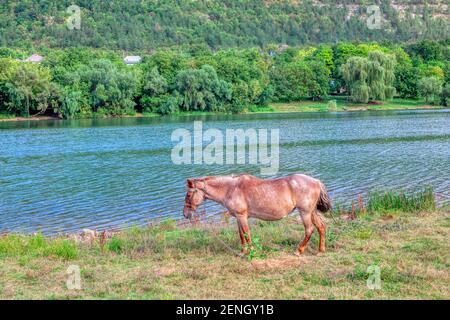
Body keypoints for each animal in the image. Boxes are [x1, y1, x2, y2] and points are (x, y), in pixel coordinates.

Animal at [181, 172, 332, 255]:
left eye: (188, 194)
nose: (185, 214)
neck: (231, 188)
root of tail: (316, 181)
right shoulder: (238, 217)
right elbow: (241, 234)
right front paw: (242, 252)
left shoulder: (242, 216)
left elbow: (247, 233)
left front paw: (251, 251)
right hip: (311, 212)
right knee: (321, 227)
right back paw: (320, 251)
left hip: (305, 213)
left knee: (309, 230)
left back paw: (299, 251)